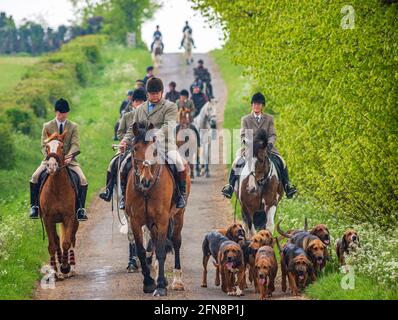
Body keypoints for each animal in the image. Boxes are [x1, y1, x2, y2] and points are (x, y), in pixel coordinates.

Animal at [40, 131, 79, 278]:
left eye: (61, 147)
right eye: (46, 147)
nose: (51, 166)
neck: (56, 188)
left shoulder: (69, 217)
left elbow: (66, 243)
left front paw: (65, 267)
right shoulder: (47, 219)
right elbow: (52, 245)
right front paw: (55, 271)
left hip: (75, 220)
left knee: (72, 239)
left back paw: (71, 268)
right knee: (57, 241)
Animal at [126, 121, 191, 296]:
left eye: (154, 150)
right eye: (135, 148)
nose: (146, 180)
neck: (146, 190)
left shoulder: (162, 220)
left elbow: (161, 250)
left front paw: (160, 286)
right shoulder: (135, 221)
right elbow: (142, 251)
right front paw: (149, 283)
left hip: (178, 215)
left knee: (176, 241)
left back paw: (177, 281)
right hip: (151, 223)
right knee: (154, 243)